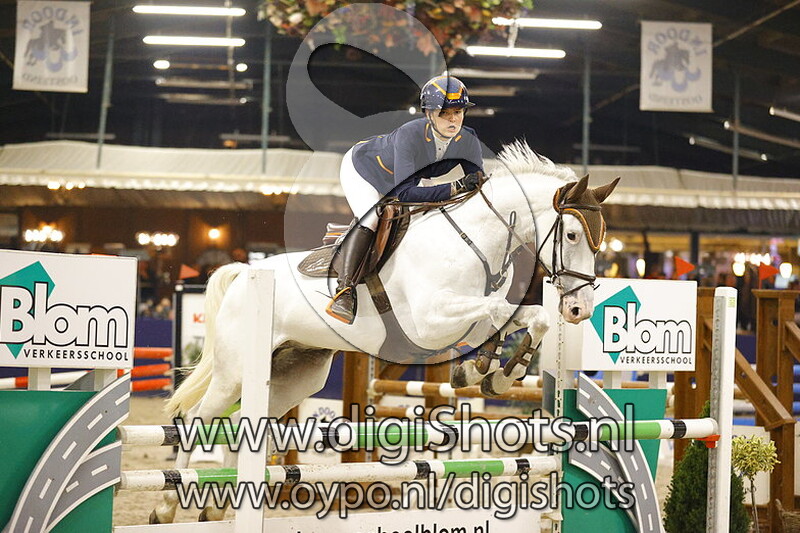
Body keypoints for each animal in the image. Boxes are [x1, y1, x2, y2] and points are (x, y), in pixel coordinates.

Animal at [150, 140, 619, 523]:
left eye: (599, 243)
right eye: (571, 234)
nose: (579, 309)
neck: (473, 241)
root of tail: (244, 273)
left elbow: (524, 316)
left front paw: (490, 372)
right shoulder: (431, 322)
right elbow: (503, 310)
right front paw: (496, 372)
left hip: (293, 375)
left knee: (244, 428)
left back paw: (216, 509)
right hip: (233, 374)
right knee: (195, 420)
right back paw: (167, 507)